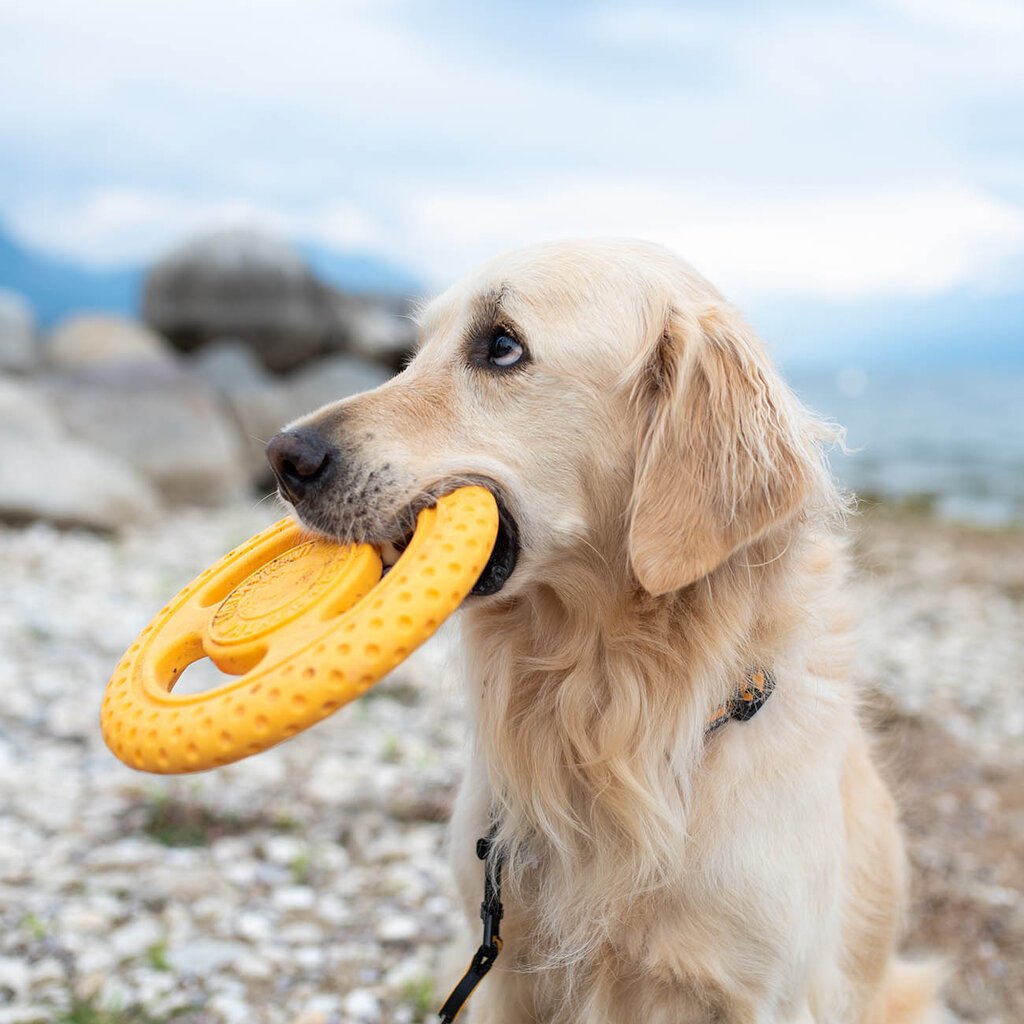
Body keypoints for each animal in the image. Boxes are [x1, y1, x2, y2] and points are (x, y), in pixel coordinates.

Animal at [266, 241, 942, 1024]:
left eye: (502, 345)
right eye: (412, 352)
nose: (282, 455)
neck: (604, 716)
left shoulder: (750, 990)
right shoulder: (502, 967)